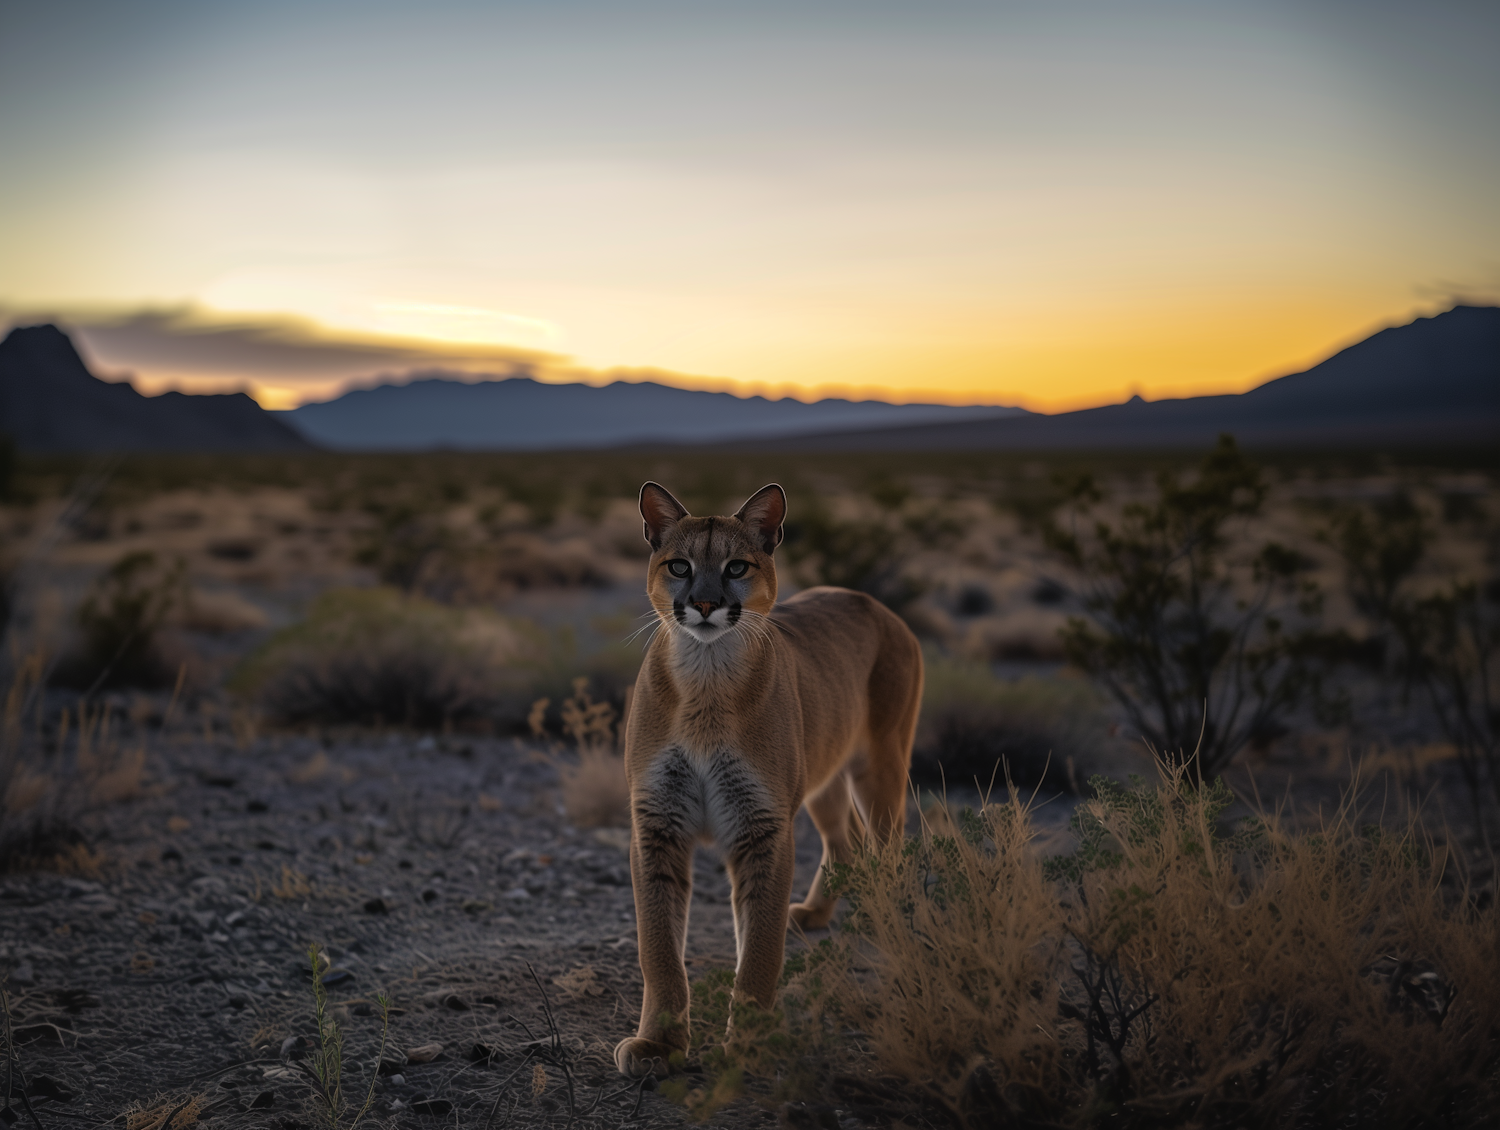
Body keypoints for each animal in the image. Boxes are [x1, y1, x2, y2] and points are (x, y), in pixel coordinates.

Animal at [612, 477, 918, 1074]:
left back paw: (884, 922)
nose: (706, 603)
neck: (705, 682)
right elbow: (658, 948)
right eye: (679, 566)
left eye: (737, 567)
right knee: (845, 842)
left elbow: (760, 948)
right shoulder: (657, 823)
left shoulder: (762, 827)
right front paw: (660, 1044)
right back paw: (816, 912)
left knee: (888, 842)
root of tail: (871, 601)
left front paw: (749, 1043)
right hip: (825, 780)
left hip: (881, 765)